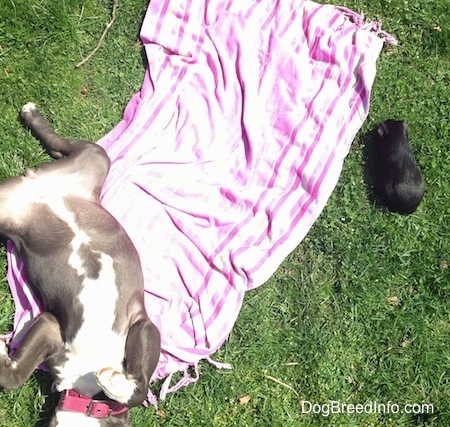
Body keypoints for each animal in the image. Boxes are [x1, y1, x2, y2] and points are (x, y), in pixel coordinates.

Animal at [0, 104, 161, 427]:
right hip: (96, 156)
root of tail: (36, 185)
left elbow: (139, 389)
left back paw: (30, 116)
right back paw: (31, 114)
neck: (88, 397)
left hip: (89, 161)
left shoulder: (54, 327)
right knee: (64, 143)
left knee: (60, 148)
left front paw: (114, 382)